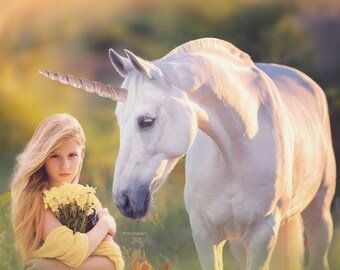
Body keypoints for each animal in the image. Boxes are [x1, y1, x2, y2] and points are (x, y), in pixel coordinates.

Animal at [40, 37, 334, 268]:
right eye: (119, 119)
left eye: (146, 121)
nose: (123, 200)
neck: (236, 155)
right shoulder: (206, 234)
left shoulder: (263, 234)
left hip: (318, 215)